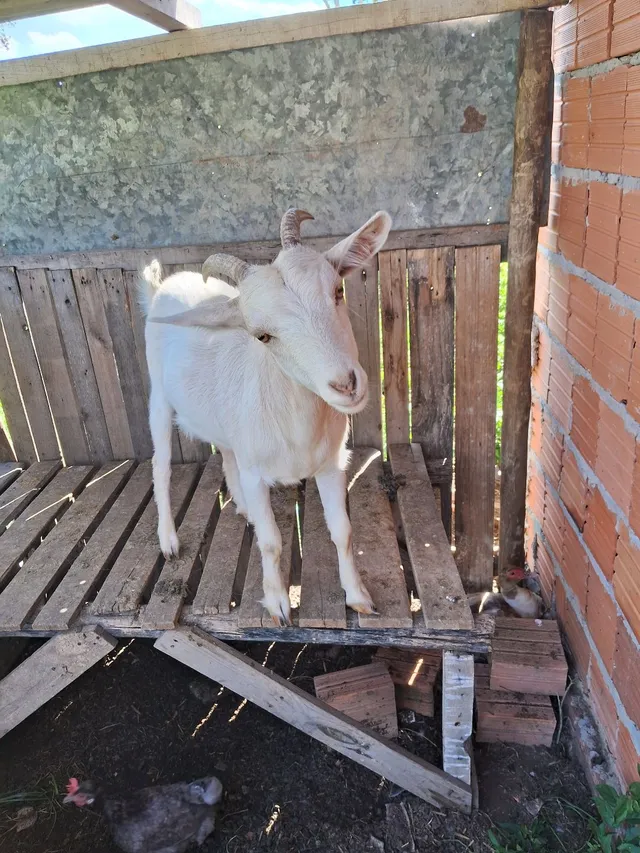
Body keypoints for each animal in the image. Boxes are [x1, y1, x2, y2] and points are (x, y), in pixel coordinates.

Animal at [140, 208, 392, 625]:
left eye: (337, 292)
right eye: (262, 336)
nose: (346, 384)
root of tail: (164, 285)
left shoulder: (331, 464)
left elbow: (343, 531)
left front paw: (359, 596)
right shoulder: (258, 473)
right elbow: (272, 543)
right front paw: (277, 605)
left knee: (226, 453)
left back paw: (243, 508)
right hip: (159, 397)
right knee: (160, 466)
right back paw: (169, 541)